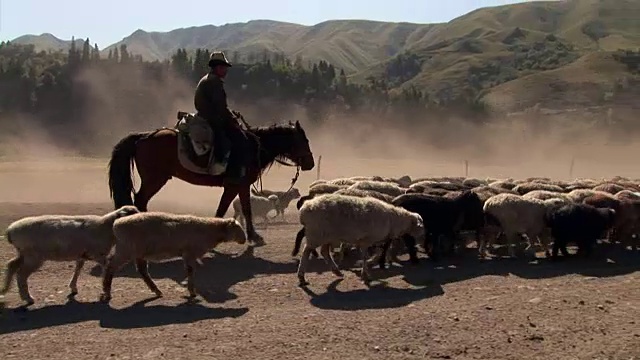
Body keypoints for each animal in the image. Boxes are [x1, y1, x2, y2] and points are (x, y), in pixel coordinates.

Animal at [0, 205, 140, 304]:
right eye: (132, 214)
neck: (105, 227)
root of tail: (10, 231)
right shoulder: (98, 255)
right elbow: (106, 270)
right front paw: (106, 292)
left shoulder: (82, 255)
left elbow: (78, 269)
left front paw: (73, 288)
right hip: (33, 256)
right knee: (21, 274)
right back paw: (27, 298)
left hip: (23, 253)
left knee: (11, 265)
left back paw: (5, 289)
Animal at [100, 212, 248, 302]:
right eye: (237, 228)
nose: (245, 239)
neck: (209, 230)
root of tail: (117, 224)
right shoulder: (189, 253)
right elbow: (190, 271)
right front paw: (192, 293)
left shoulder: (187, 255)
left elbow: (190, 271)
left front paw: (191, 292)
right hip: (126, 249)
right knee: (110, 266)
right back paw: (106, 292)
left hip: (137, 252)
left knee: (142, 270)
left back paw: (156, 290)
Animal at [109, 121, 316, 245]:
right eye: (304, 140)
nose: (311, 163)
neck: (254, 147)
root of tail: (144, 136)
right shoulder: (235, 185)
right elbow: (227, 208)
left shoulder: (241, 186)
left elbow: (243, 209)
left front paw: (252, 235)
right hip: (155, 180)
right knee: (140, 200)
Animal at [292, 194, 424, 286]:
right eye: (420, 225)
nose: (423, 235)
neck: (393, 220)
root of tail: (305, 207)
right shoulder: (366, 240)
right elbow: (365, 256)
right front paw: (365, 274)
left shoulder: (371, 241)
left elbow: (376, 253)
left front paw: (369, 267)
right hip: (317, 234)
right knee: (306, 251)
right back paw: (301, 276)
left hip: (328, 236)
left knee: (324, 252)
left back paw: (337, 271)